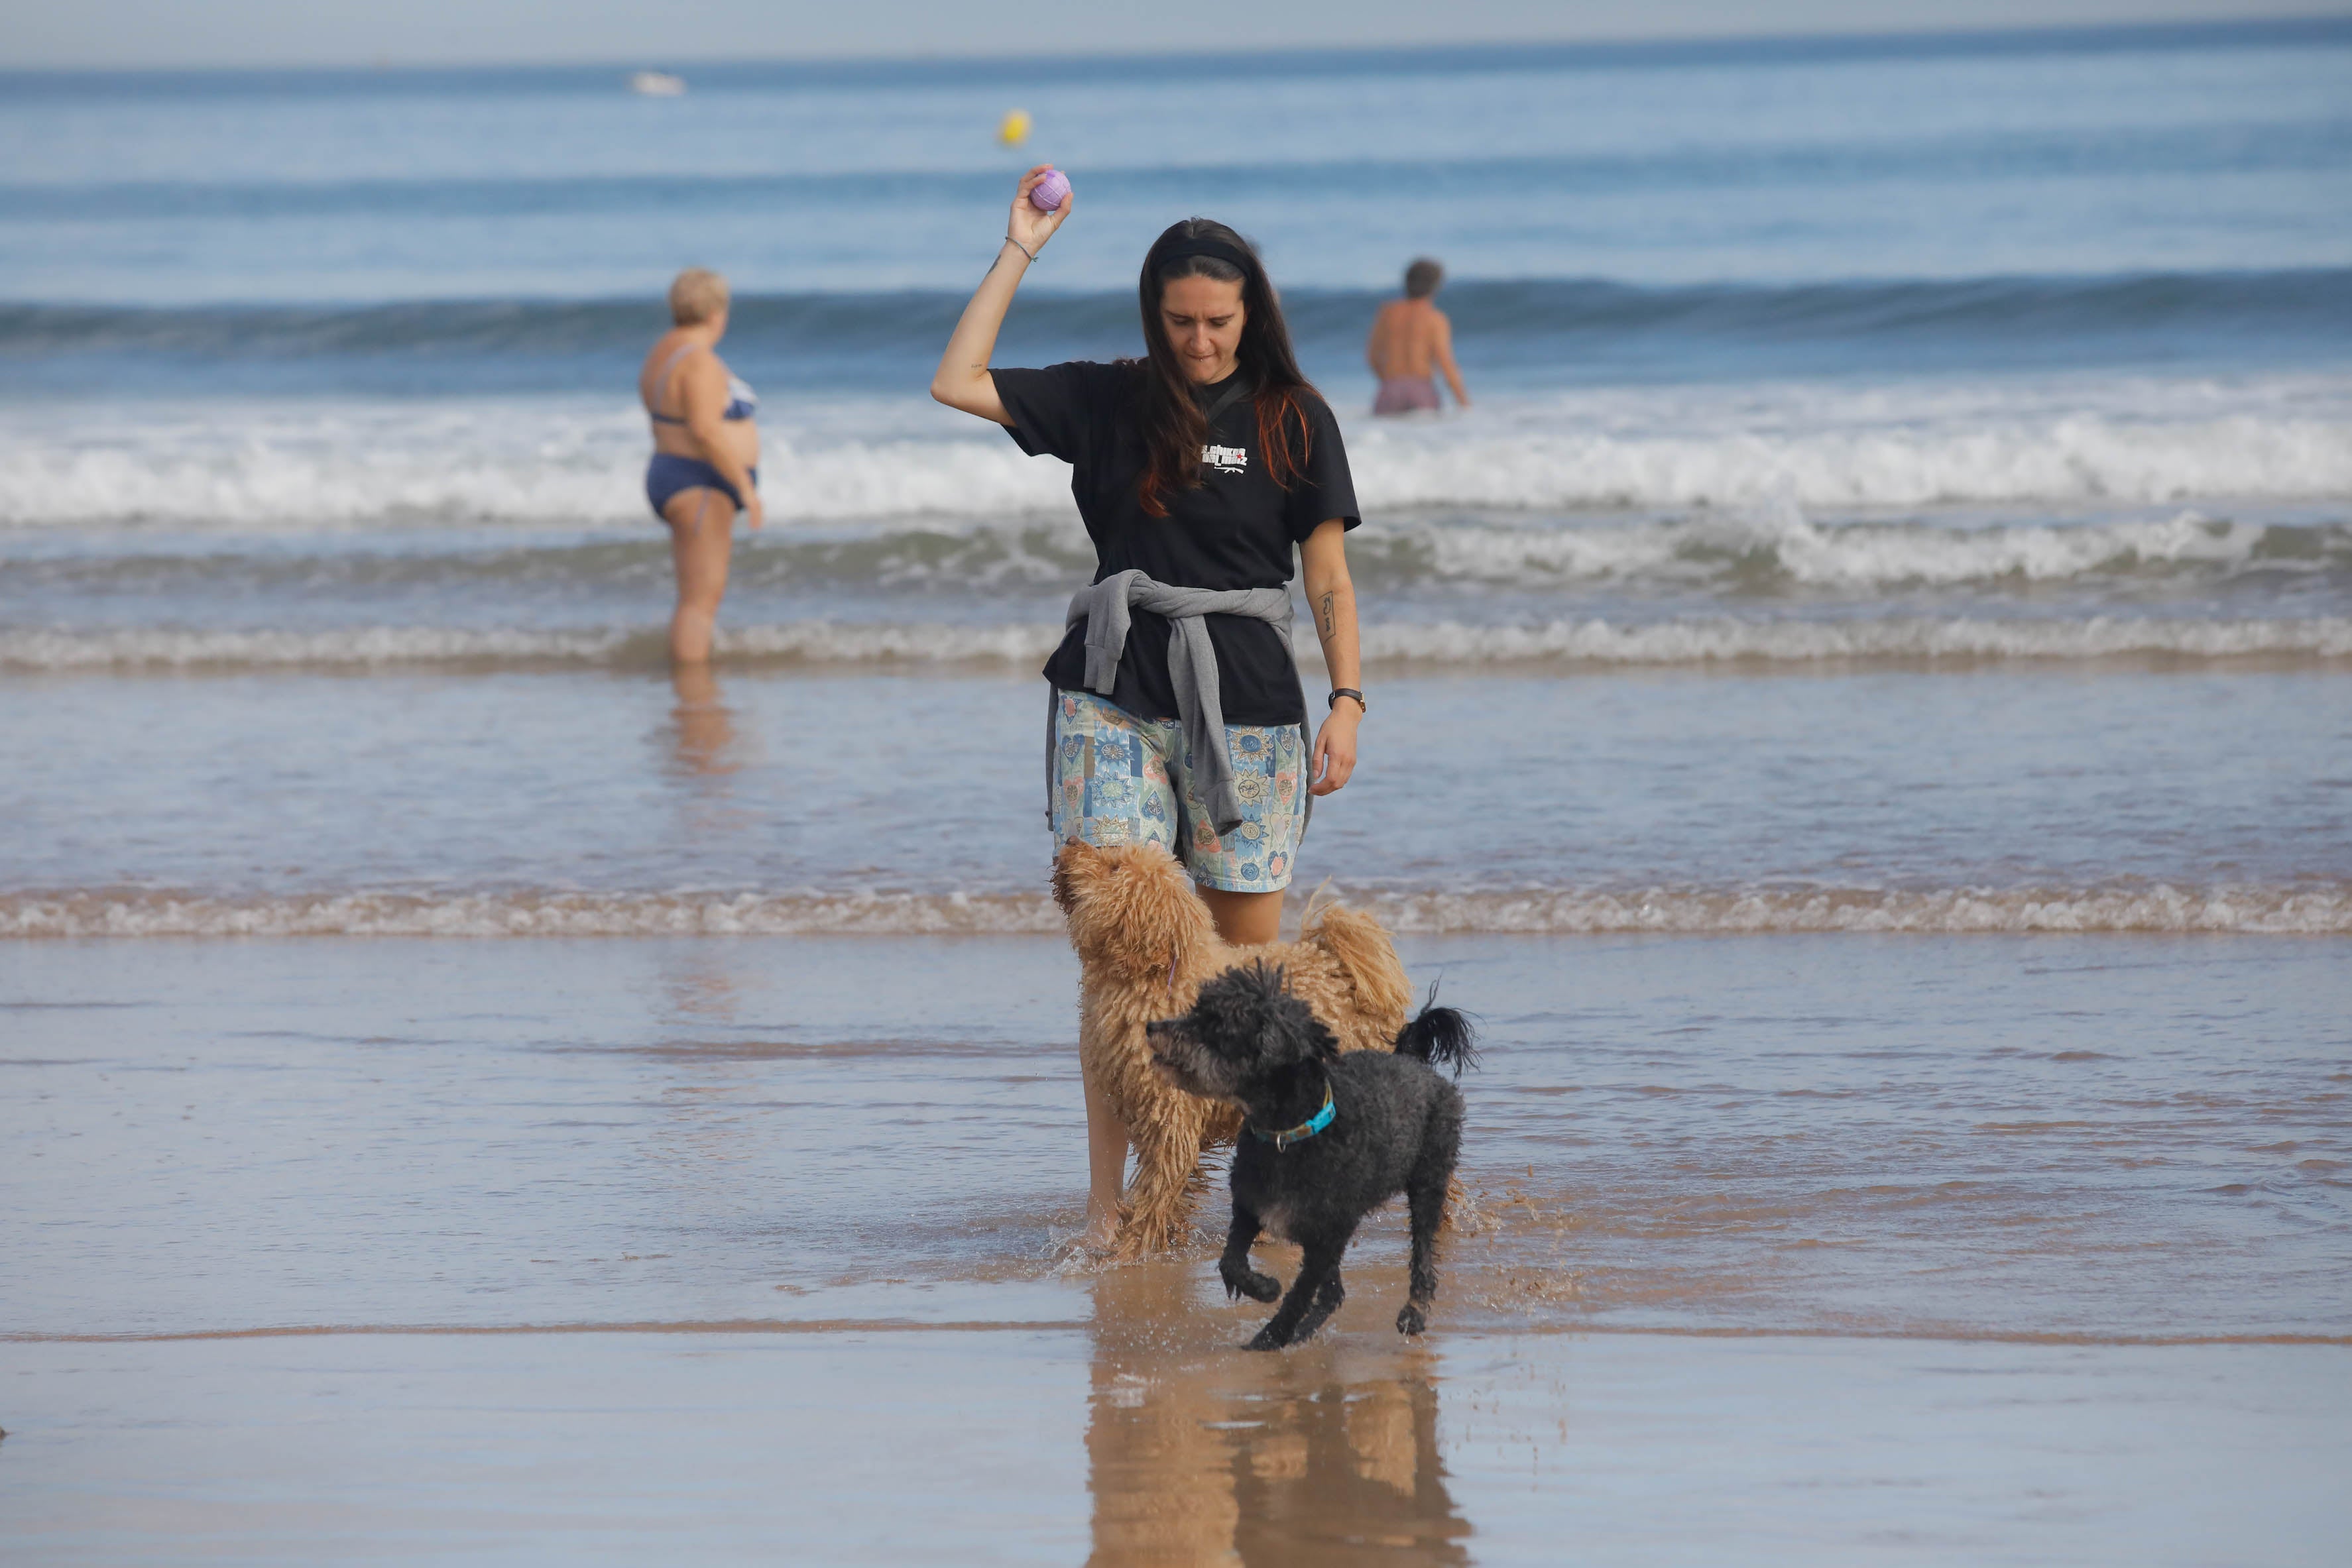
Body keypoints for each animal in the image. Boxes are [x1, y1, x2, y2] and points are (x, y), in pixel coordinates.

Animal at [1053, 841, 1411, 1260]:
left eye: (1114, 868)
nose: (1070, 842)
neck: (1159, 978)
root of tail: (1342, 967)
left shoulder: (1172, 1118)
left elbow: (1158, 1187)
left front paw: (1131, 1249)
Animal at [1147, 964, 1477, 1354]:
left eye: (1217, 1024)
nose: (1152, 1027)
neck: (1288, 1136)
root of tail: (1412, 1062)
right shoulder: (1251, 1206)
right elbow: (1231, 1261)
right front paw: (1264, 1289)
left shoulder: (1328, 1236)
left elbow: (1300, 1294)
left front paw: (1270, 1337)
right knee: (1334, 1294)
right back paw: (1305, 1331)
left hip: (1428, 1178)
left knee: (1421, 1252)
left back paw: (1414, 1312)